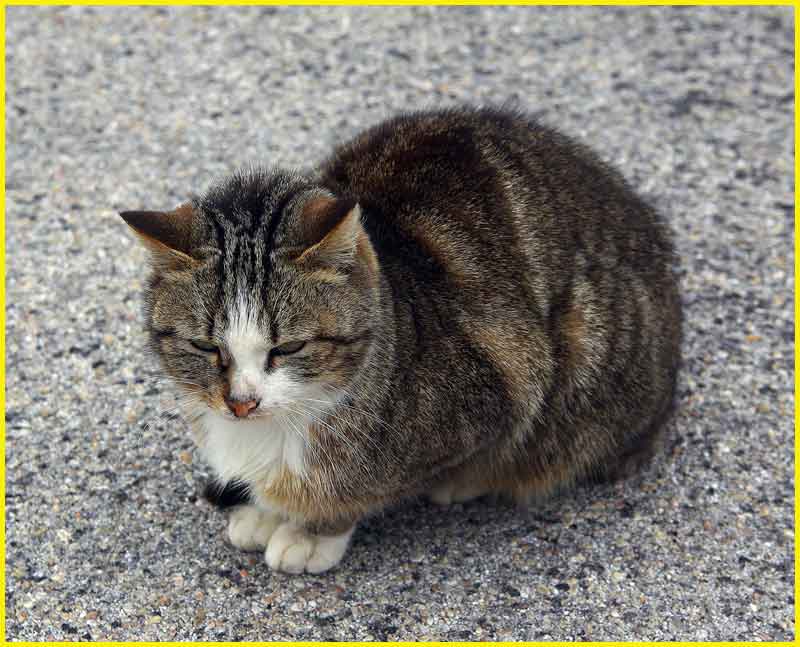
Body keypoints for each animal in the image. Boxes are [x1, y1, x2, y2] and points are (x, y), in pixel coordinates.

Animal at [120, 104, 680, 576]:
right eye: (206, 348)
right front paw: (263, 509)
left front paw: (309, 531)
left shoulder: (501, 384)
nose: (241, 402)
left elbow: (360, 490)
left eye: (288, 349)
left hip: (588, 351)